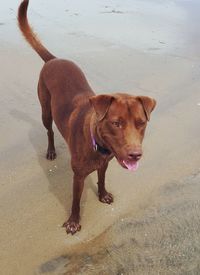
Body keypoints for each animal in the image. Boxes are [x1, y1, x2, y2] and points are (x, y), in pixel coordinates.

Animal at [18, 0, 156, 235]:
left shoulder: (104, 164)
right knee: (49, 130)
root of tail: (54, 59)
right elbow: (75, 200)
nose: (135, 155)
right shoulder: (79, 176)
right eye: (116, 123)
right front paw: (73, 222)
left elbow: (101, 180)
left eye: (141, 123)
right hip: (45, 109)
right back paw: (51, 151)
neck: (99, 144)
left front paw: (103, 195)